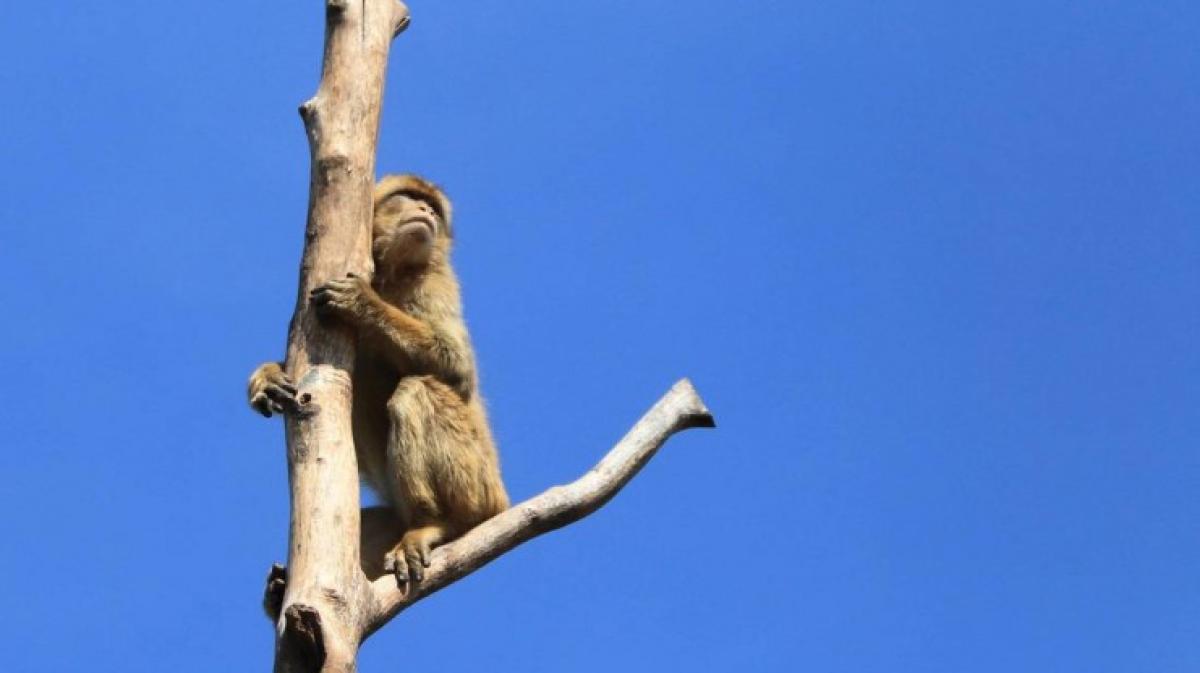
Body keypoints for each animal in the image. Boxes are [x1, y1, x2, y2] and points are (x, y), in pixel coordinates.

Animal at [248, 174, 509, 589]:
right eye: (410, 197)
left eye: (433, 207)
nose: (426, 210)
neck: (390, 272)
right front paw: (268, 376)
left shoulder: (435, 281)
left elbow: (457, 367)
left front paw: (363, 303)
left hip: (480, 483)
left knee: (416, 391)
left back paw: (436, 523)